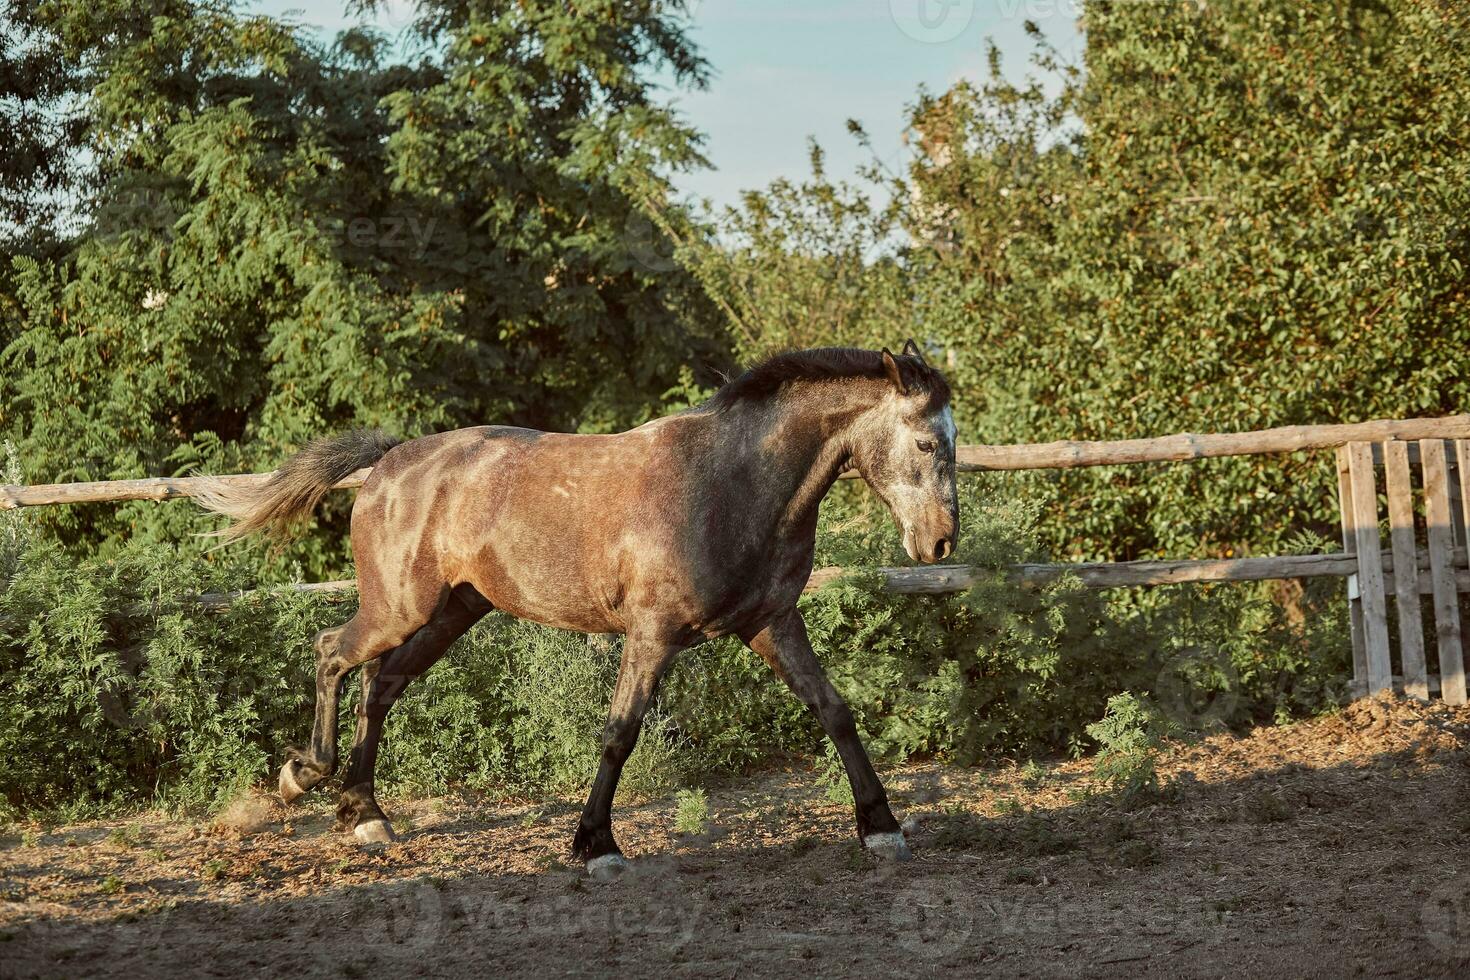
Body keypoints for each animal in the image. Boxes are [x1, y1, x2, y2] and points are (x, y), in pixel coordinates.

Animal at [198, 345, 952, 881]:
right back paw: (304, 777)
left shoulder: (771, 623)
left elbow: (834, 710)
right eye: (925, 442)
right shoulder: (651, 635)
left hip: (450, 612)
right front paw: (596, 846)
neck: (730, 484)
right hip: (398, 607)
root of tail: (387, 465)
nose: (940, 542)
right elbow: (620, 734)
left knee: (380, 684)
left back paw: (365, 814)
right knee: (331, 651)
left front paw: (881, 829)